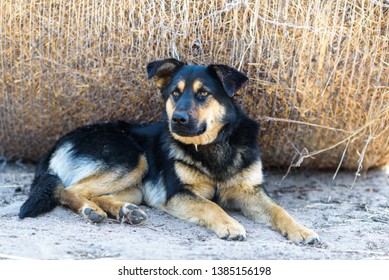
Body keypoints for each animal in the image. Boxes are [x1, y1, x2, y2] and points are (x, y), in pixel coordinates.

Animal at [18, 58, 318, 243]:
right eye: (175, 93)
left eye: (203, 93)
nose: (178, 119)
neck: (213, 145)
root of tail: (58, 143)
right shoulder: (178, 193)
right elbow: (211, 205)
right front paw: (230, 224)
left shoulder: (251, 192)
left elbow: (279, 210)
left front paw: (302, 230)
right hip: (131, 158)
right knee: (68, 190)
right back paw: (91, 211)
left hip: (136, 186)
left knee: (95, 193)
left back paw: (125, 211)